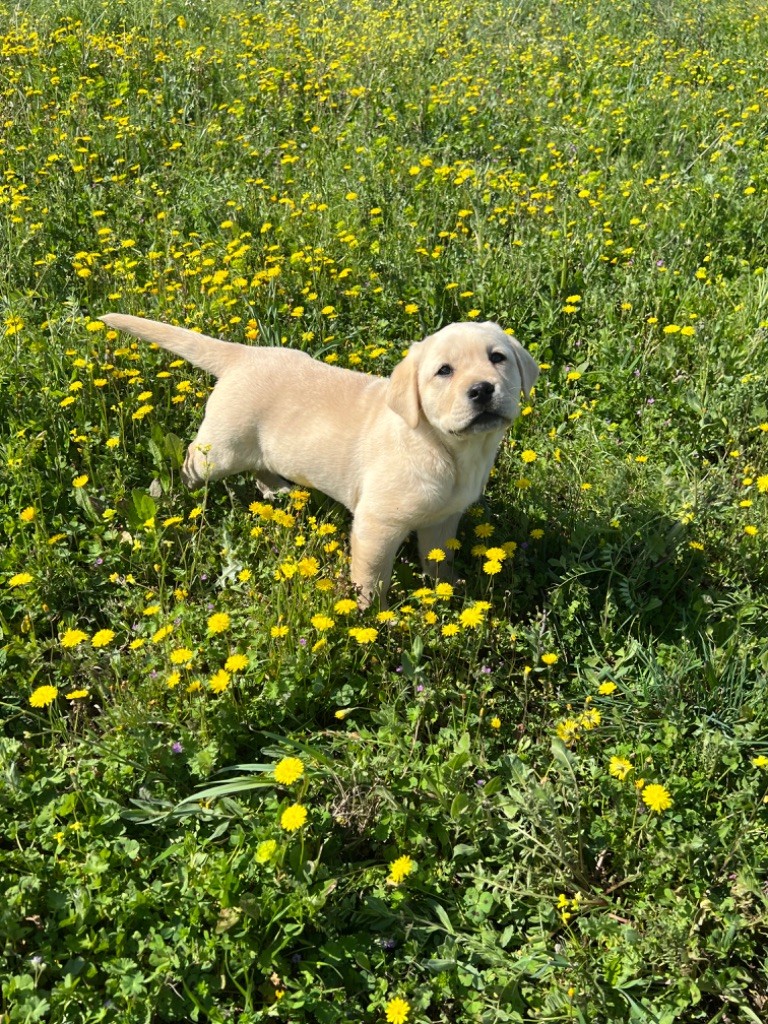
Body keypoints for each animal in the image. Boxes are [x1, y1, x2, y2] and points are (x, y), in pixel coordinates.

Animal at [99, 315, 536, 602]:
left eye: (497, 358)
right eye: (443, 371)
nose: (482, 390)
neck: (449, 450)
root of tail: (243, 355)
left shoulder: (443, 520)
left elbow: (439, 559)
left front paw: (450, 591)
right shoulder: (377, 525)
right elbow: (372, 576)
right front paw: (372, 616)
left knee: (262, 469)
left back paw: (279, 495)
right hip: (219, 452)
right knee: (188, 463)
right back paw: (161, 497)